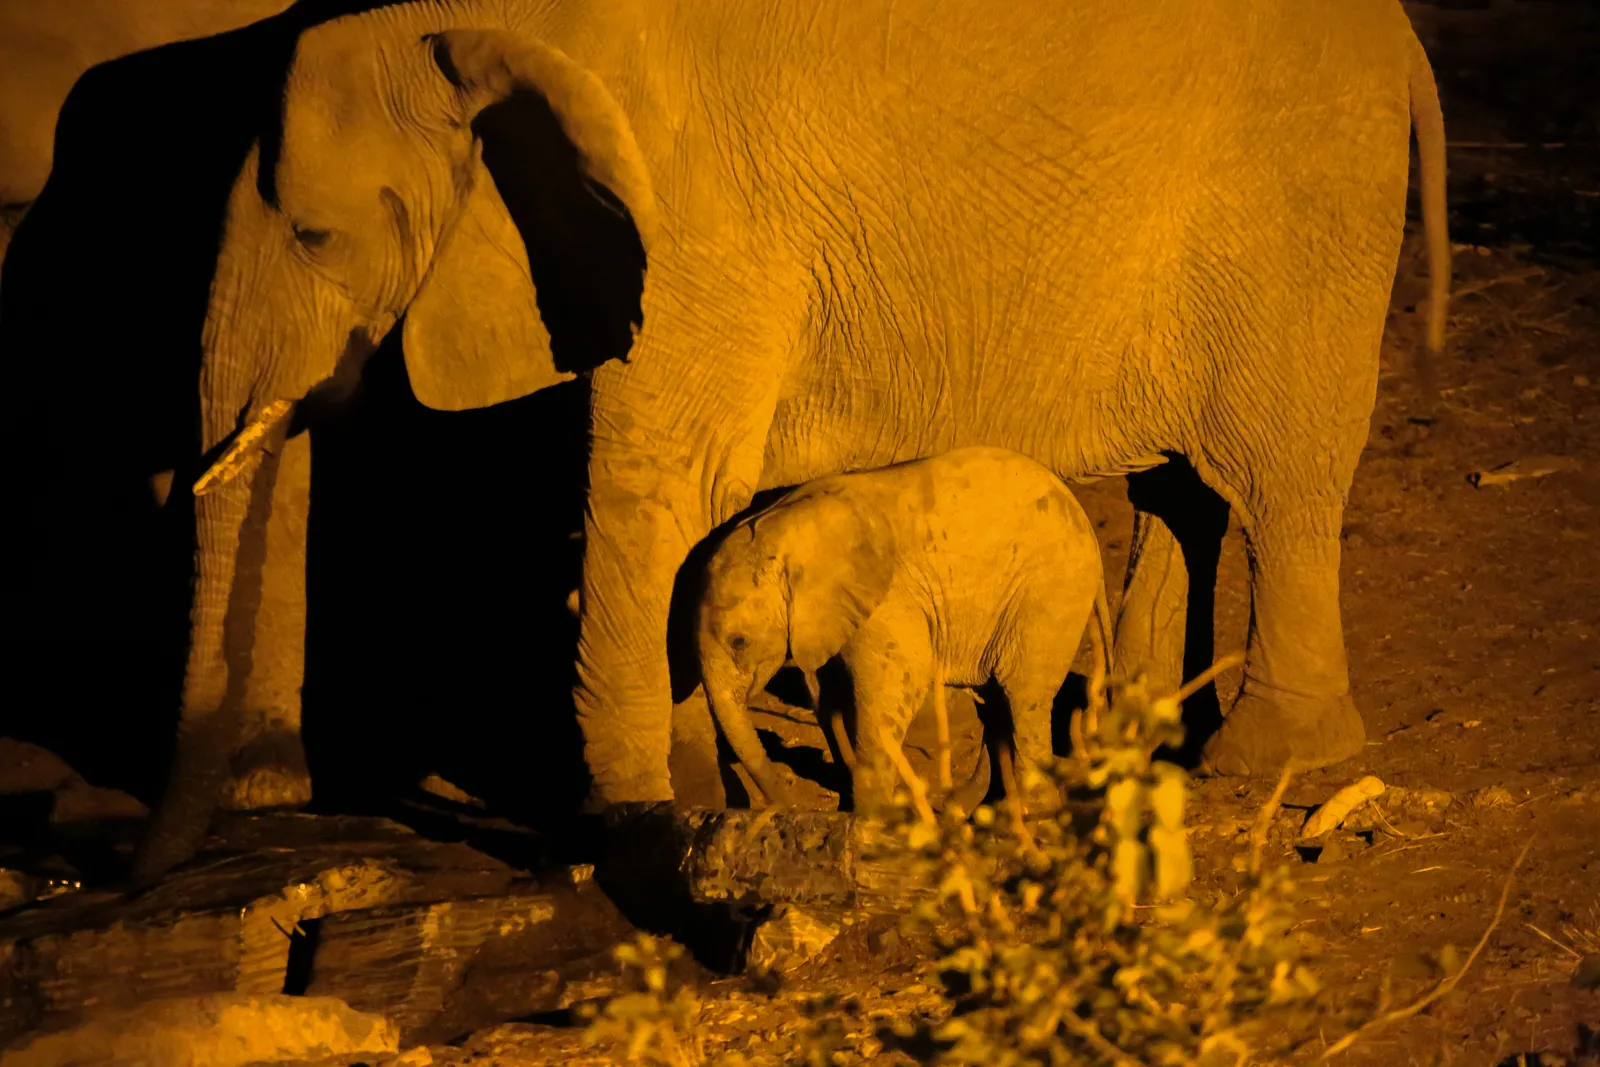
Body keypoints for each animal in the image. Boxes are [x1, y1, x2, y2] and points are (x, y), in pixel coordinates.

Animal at [696, 447, 1114, 813]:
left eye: (739, 642)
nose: (788, 807)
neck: (779, 528)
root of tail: (1086, 524)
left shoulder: (888, 596)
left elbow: (899, 683)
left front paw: (869, 818)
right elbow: (830, 695)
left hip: (1049, 593)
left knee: (1022, 694)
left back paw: (1031, 812)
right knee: (996, 698)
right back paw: (969, 807)